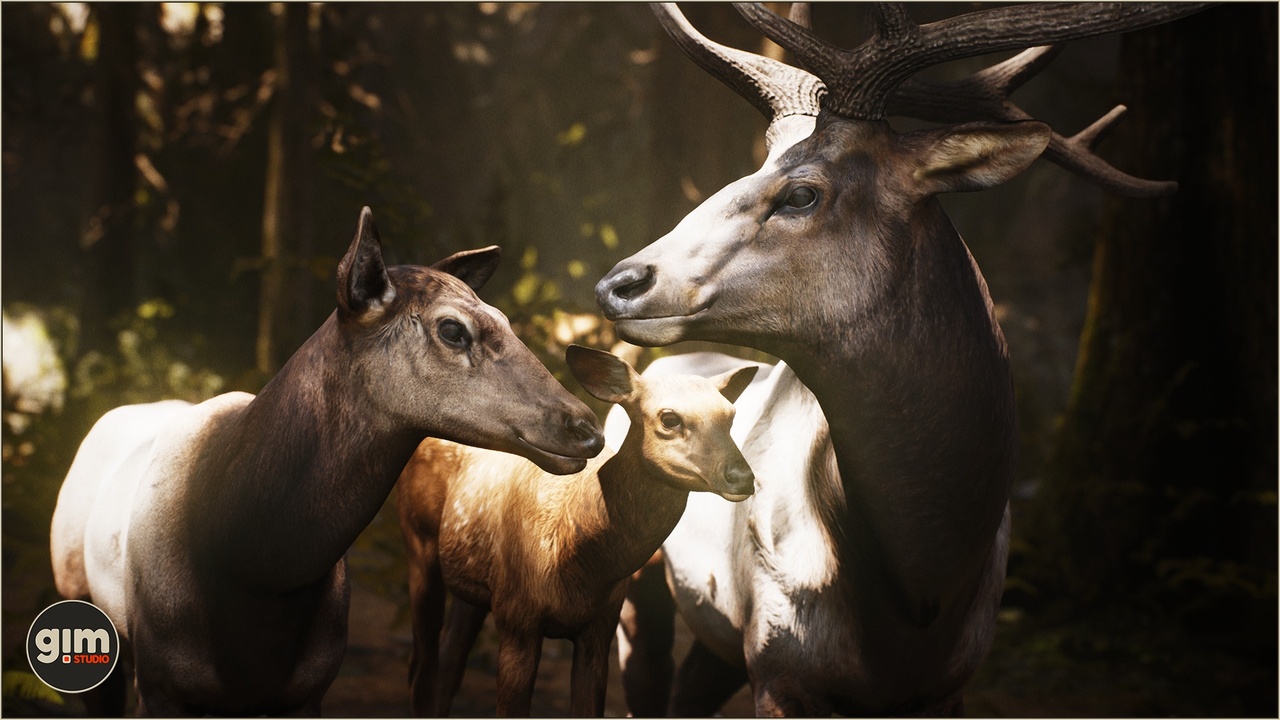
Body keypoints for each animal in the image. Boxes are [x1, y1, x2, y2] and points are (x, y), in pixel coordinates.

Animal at [48, 207, 605, 716]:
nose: (586, 428)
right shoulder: (161, 683)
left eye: (506, 320)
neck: (254, 578)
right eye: (452, 329)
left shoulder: (308, 690)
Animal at [395, 344, 757, 717]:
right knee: (421, 669)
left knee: (449, 664)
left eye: (730, 415)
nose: (743, 477)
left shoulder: (600, 627)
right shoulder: (518, 618)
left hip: (473, 582)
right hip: (418, 541)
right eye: (670, 418)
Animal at [595, 3, 1210, 716]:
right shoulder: (780, 664)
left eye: (801, 194)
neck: (922, 592)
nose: (617, 283)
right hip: (643, 590)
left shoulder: (950, 684)